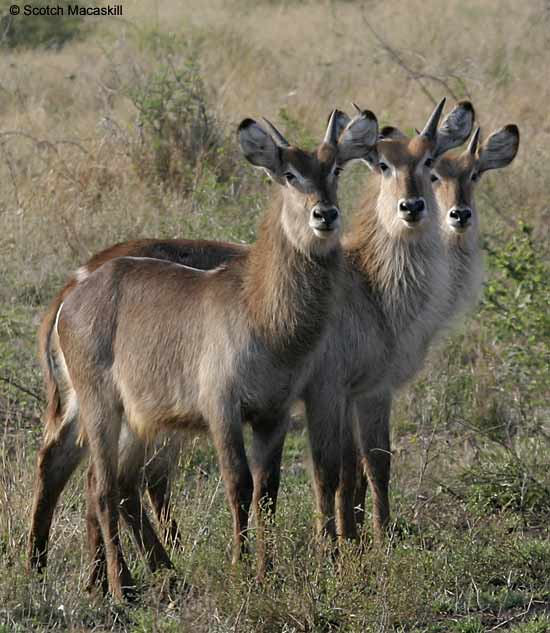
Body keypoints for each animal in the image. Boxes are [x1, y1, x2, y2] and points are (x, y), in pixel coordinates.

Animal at [29, 108, 380, 596]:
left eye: (335, 170)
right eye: (289, 174)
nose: (324, 214)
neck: (261, 311)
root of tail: (70, 295)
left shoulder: (273, 414)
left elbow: (267, 491)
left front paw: (266, 570)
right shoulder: (221, 408)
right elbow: (238, 484)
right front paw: (239, 567)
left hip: (122, 414)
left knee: (88, 474)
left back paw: (60, 569)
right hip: (101, 405)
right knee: (100, 486)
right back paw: (122, 586)